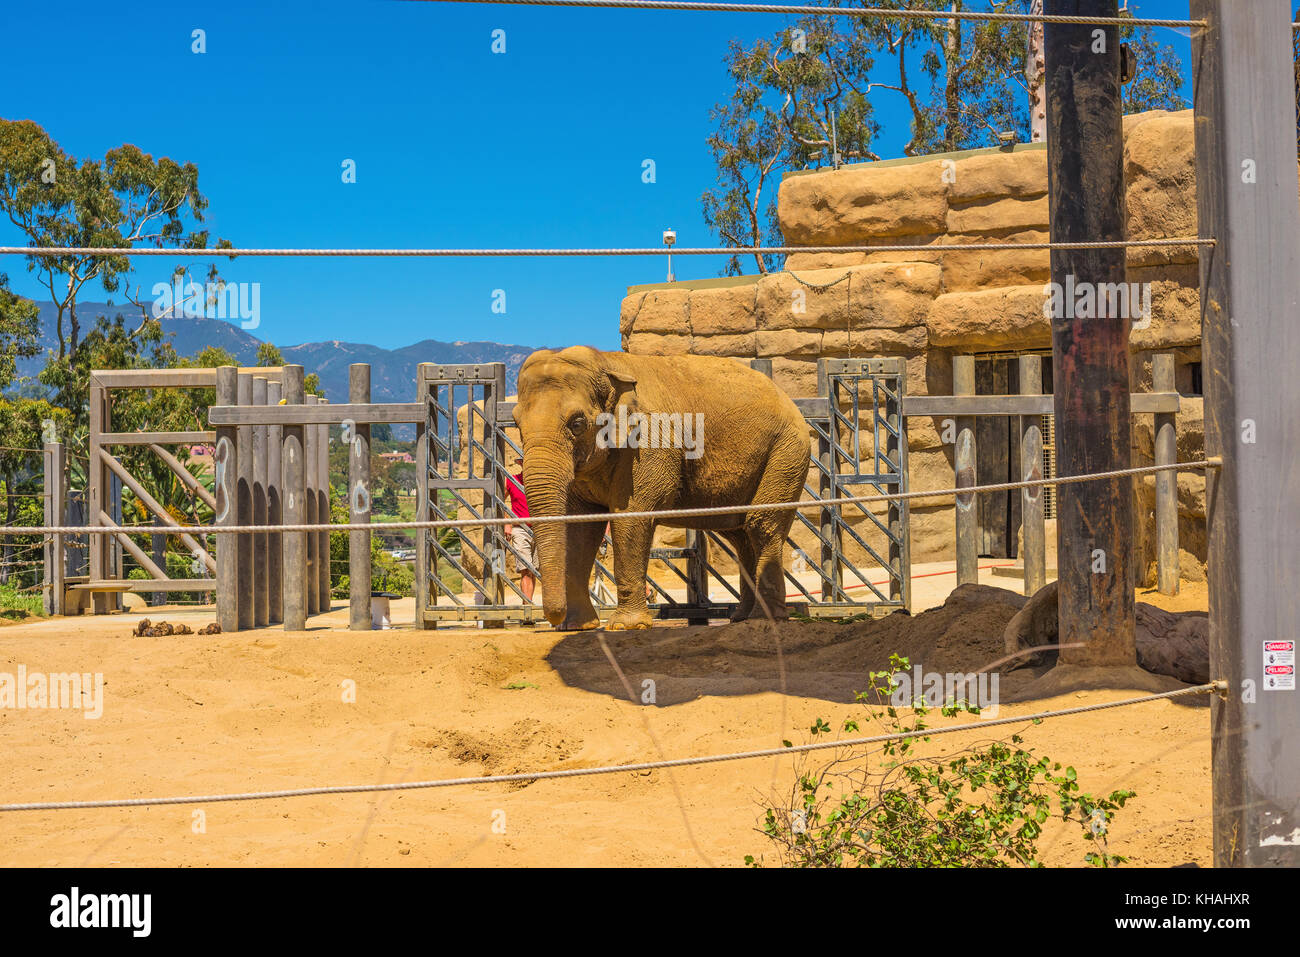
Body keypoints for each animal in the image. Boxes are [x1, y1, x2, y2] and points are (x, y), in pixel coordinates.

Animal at [509, 348, 806, 631]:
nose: (552, 617)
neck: (607, 362)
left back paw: (764, 620)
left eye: (577, 423)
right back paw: (742, 618)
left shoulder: (649, 441)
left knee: (760, 524)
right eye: (516, 424)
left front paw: (626, 626)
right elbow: (580, 527)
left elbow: (630, 518)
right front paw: (575, 627)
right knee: (740, 535)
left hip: (787, 452)